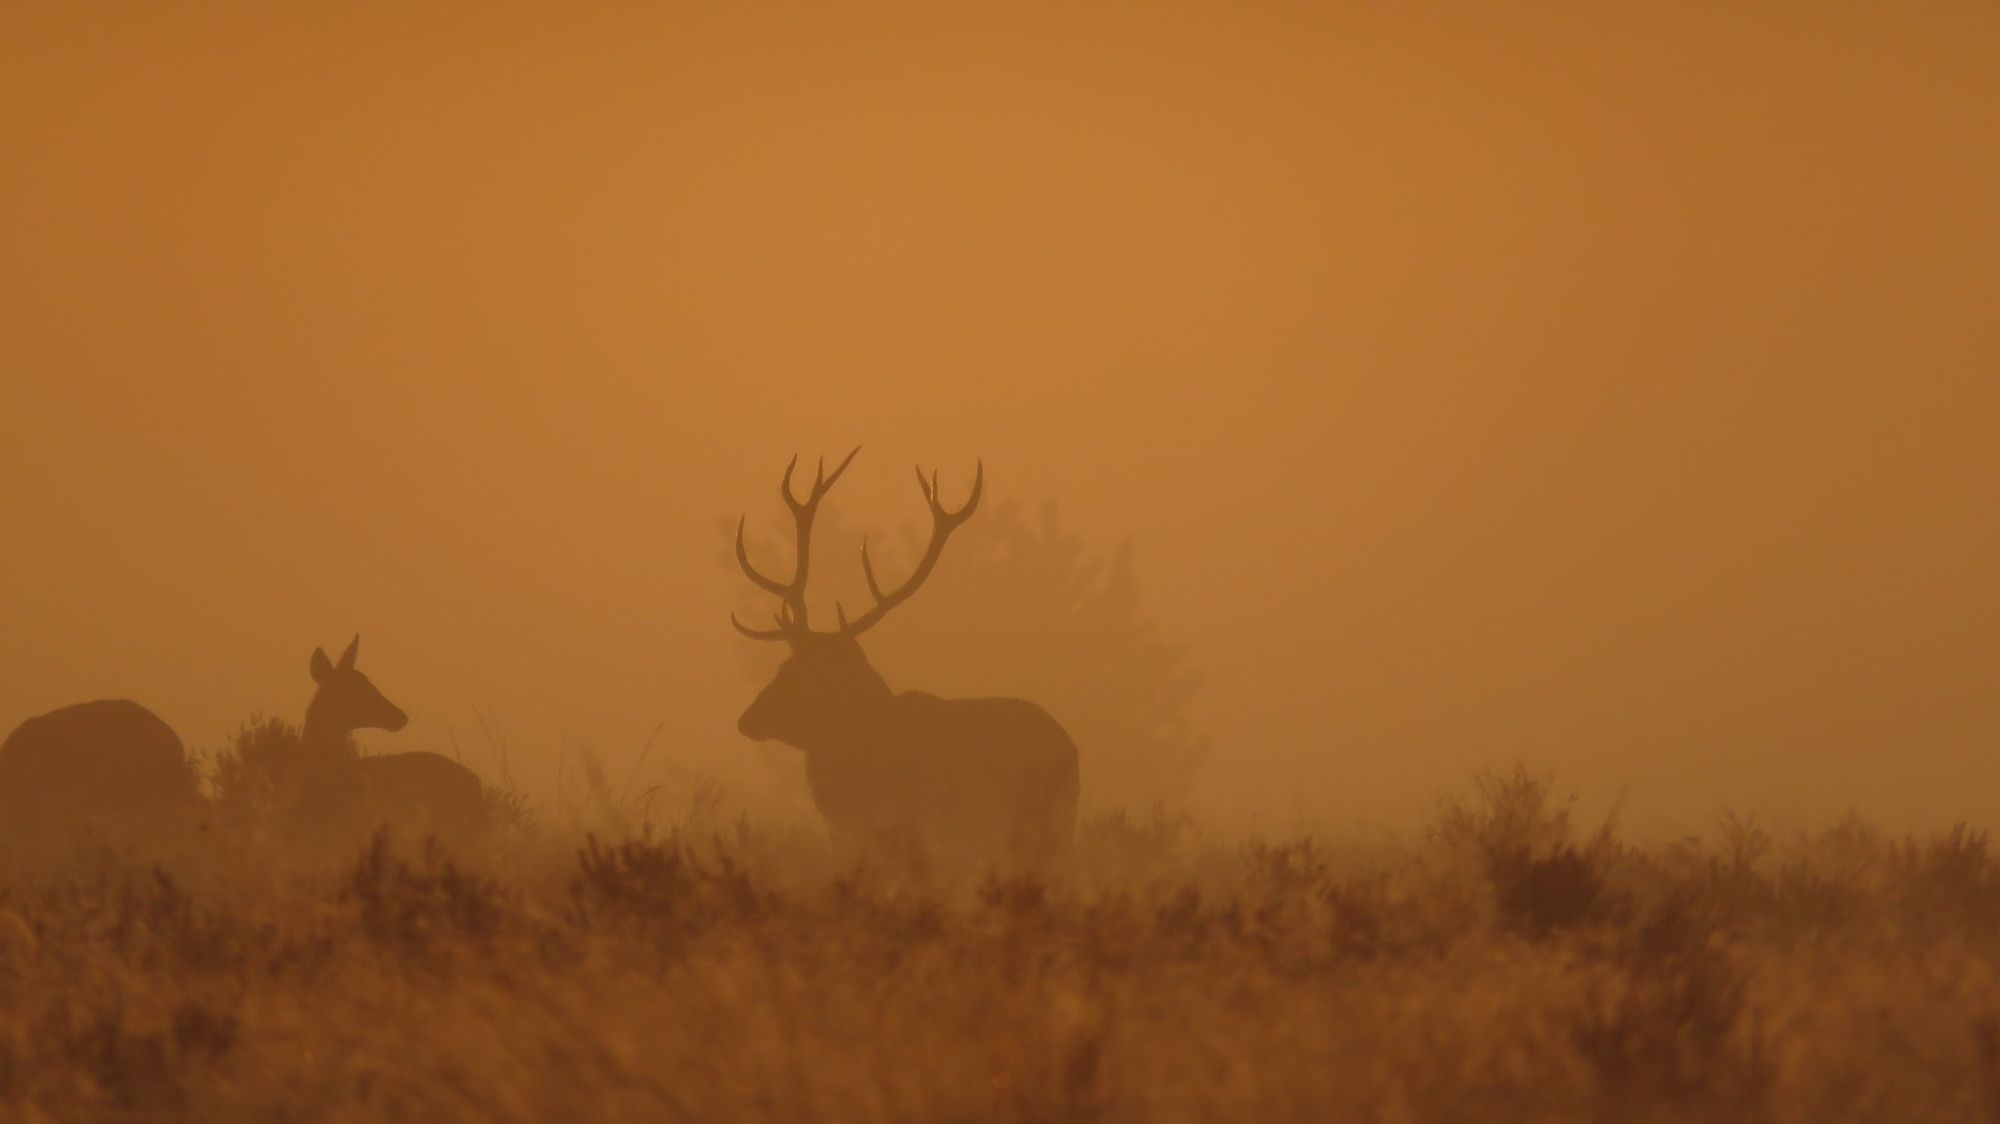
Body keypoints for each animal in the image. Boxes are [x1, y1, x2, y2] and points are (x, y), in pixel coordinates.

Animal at [732, 450, 1080, 872]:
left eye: (807, 675)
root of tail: (1071, 749)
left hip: (1042, 824)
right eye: (782, 665)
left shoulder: (905, 821)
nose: (747, 719)